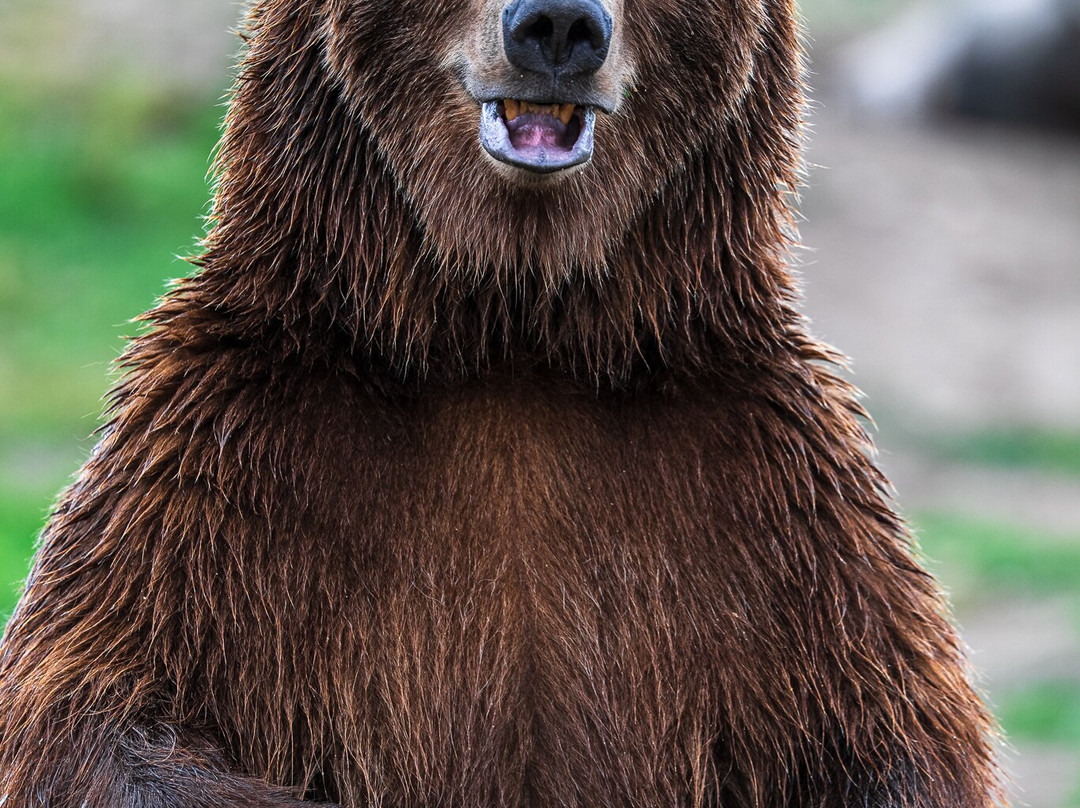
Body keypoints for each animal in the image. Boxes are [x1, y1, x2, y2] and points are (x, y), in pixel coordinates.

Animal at [0, 0, 1003, 805]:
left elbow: (891, 740)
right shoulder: (226, 462)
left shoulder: (771, 496)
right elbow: (93, 717)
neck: (511, 335)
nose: (557, 25)